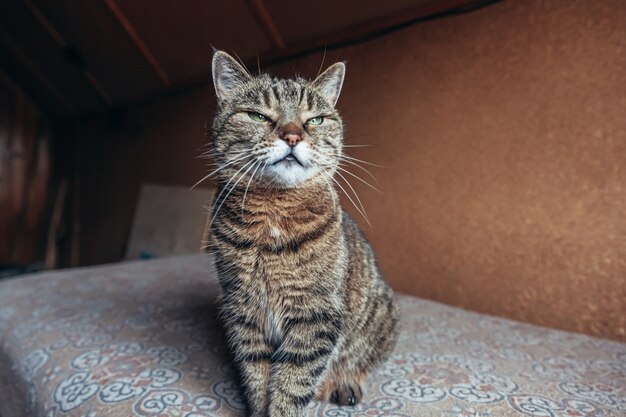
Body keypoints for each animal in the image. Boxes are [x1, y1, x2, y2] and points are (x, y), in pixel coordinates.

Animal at [207, 49, 398, 416]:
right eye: (258, 115)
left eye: (316, 120)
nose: (293, 136)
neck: (273, 215)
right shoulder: (243, 312)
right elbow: (257, 377)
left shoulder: (316, 316)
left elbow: (292, 384)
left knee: (360, 362)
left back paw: (345, 384)